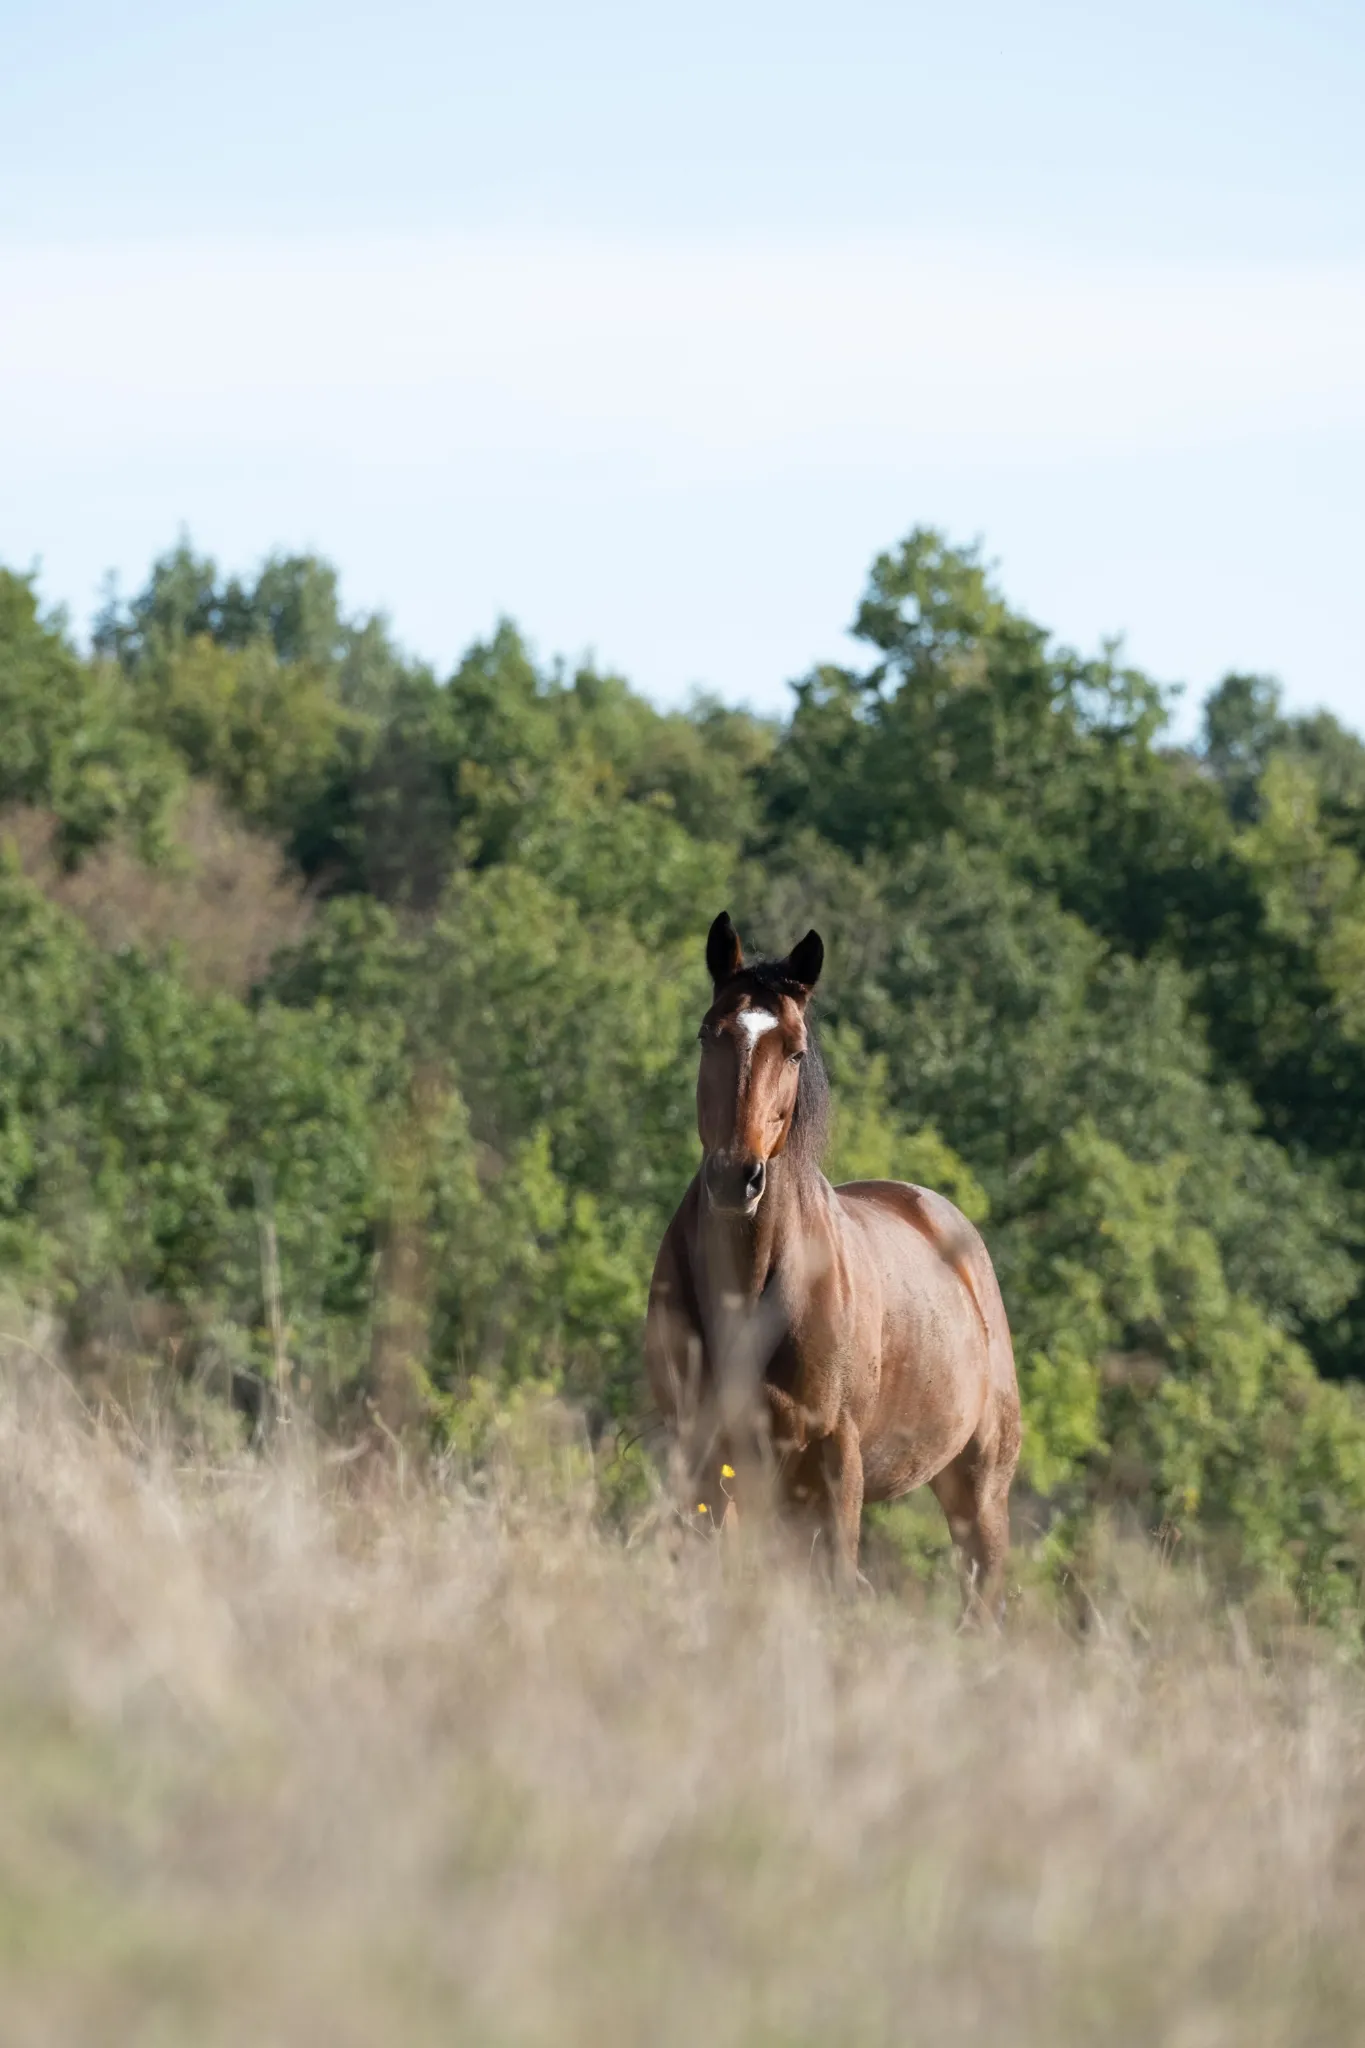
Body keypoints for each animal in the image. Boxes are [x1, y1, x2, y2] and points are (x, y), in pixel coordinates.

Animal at [644, 910, 1022, 1616]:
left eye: (794, 1050)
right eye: (710, 1035)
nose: (736, 1178)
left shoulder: (833, 1456)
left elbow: (840, 1583)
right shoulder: (700, 1450)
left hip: (978, 1486)